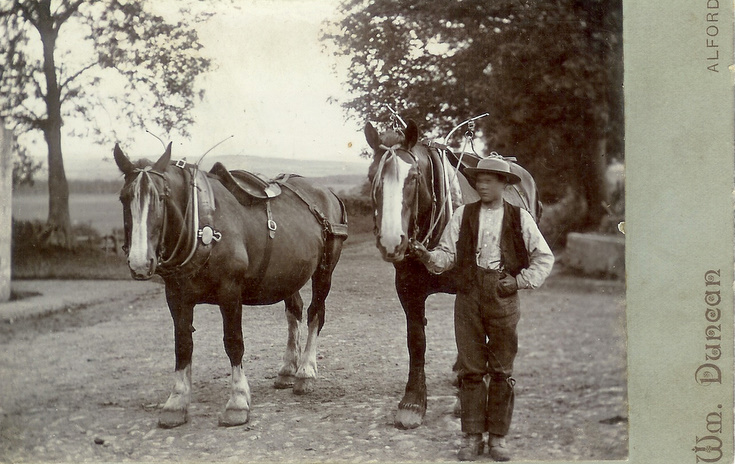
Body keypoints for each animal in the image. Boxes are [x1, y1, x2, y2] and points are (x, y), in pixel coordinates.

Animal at [113, 141, 348, 428]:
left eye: (161, 197)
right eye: (124, 198)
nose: (139, 262)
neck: (203, 223)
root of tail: (328, 193)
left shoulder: (230, 293)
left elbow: (233, 342)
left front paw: (237, 401)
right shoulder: (176, 297)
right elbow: (182, 345)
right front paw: (177, 401)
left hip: (324, 271)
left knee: (316, 313)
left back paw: (305, 372)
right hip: (289, 275)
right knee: (294, 311)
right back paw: (287, 369)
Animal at [364, 118, 540, 428]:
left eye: (413, 178)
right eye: (373, 175)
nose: (391, 240)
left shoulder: (472, 285)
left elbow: (473, 335)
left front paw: (467, 393)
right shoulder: (407, 288)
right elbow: (417, 341)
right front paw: (413, 401)